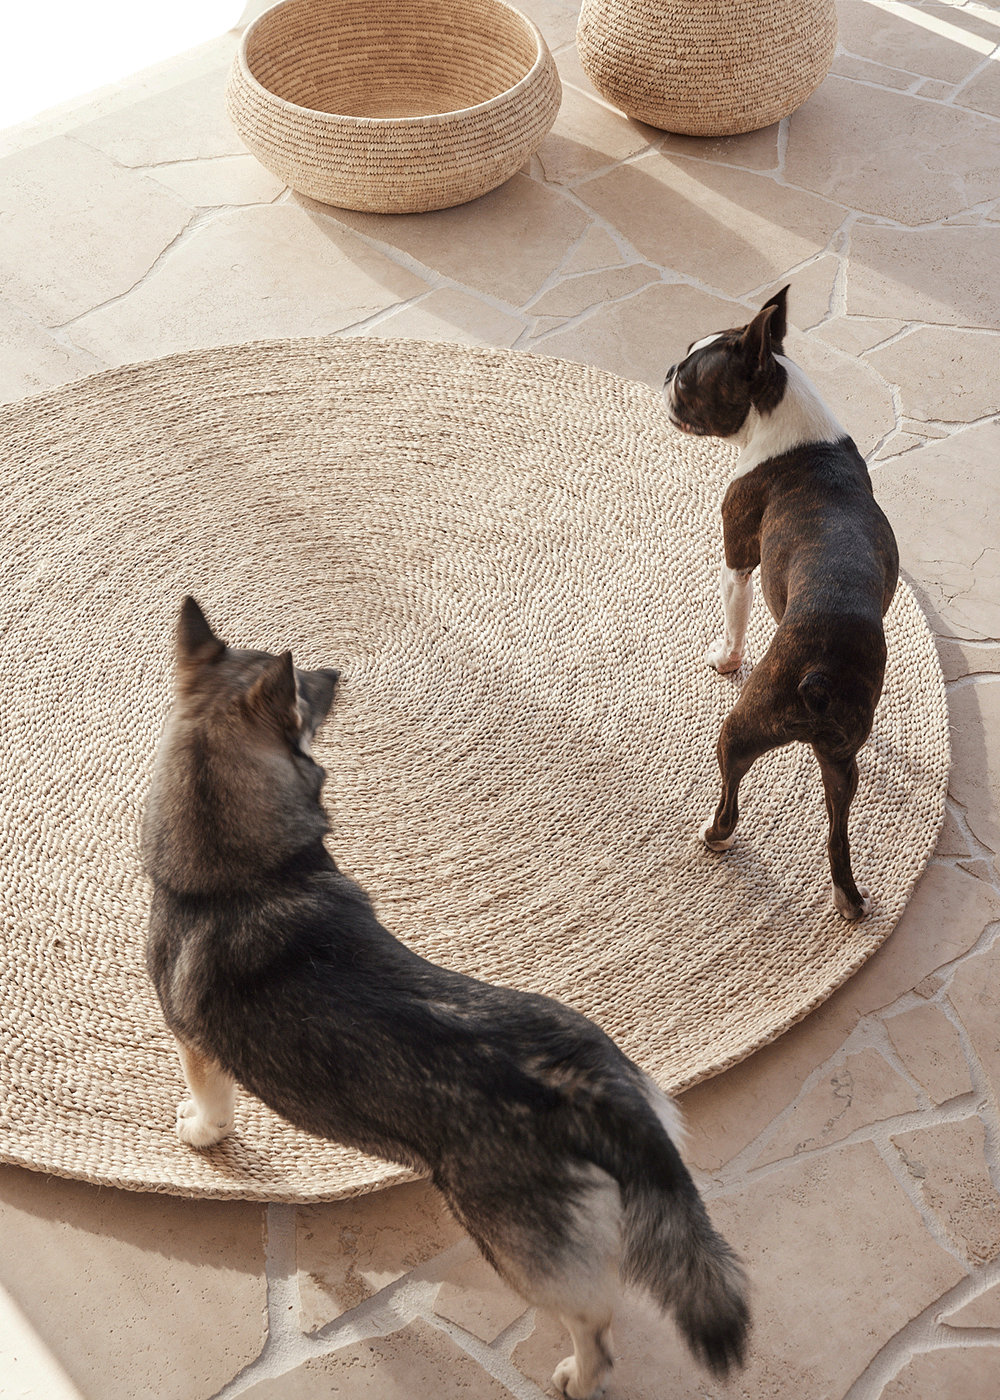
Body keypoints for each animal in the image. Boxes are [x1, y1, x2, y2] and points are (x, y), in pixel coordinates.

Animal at [661, 287, 896, 918]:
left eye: (688, 379)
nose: (664, 371)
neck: (781, 414)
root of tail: (818, 674)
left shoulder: (739, 554)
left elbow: (735, 613)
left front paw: (724, 659)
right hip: (841, 760)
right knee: (838, 833)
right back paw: (849, 901)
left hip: (742, 727)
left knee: (731, 796)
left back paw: (714, 837)